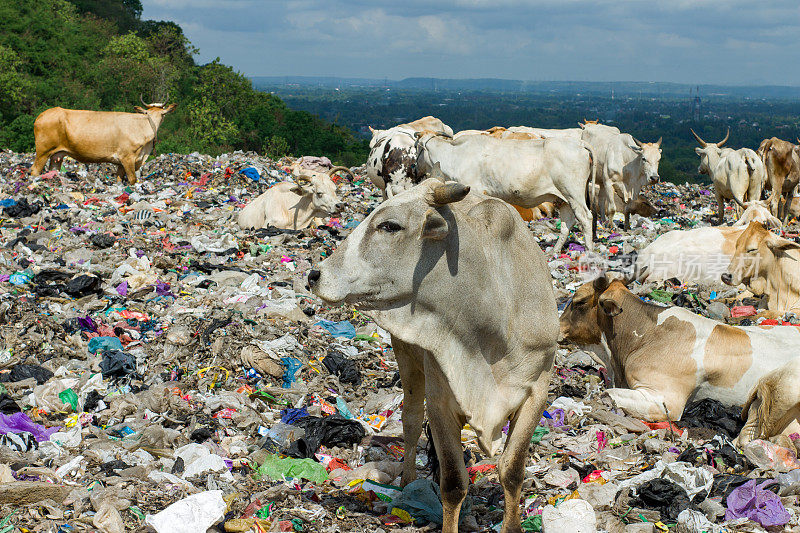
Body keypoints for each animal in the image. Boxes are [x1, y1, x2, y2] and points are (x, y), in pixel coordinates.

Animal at [30, 97, 178, 185]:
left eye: (163, 114)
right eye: (146, 114)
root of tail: (41, 116)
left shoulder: (122, 162)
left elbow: (119, 179)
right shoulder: (128, 158)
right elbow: (132, 179)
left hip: (57, 155)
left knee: (52, 171)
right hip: (43, 152)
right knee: (34, 170)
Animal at [306, 178, 556, 532]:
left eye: (389, 225)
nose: (315, 275)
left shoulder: (537, 392)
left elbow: (511, 469)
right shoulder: (441, 401)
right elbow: (453, 482)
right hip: (407, 359)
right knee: (410, 422)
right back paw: (409, 482)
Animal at [416, 130, 596, 251]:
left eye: (417, 147)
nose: (414, 168)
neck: (454, 155)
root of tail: (580, 143)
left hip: (573, 193)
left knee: (586, 218)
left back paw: (589, 251)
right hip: (563, 198)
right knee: (568, 223)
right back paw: (555, 251)